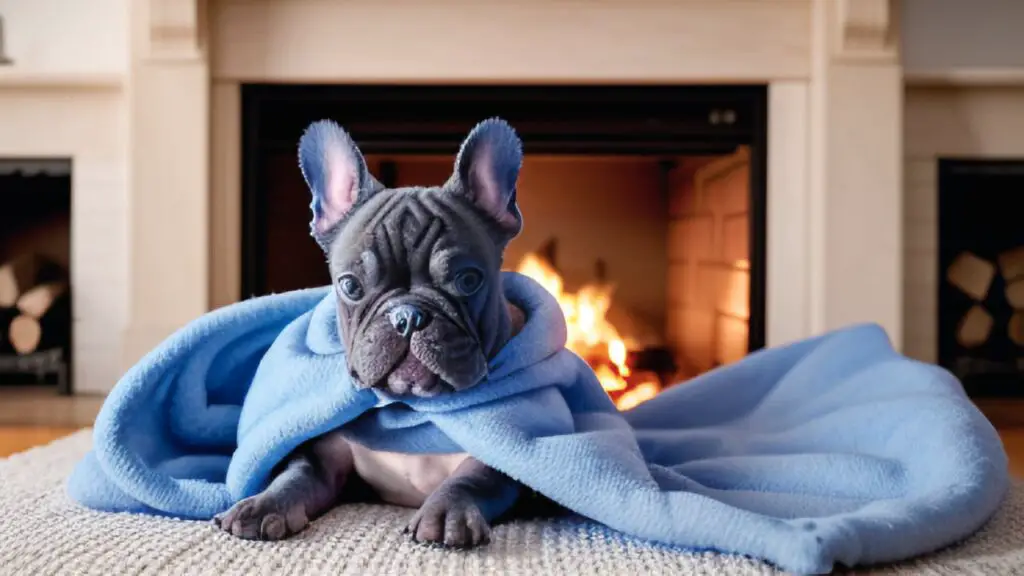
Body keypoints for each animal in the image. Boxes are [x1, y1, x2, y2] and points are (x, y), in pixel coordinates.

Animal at [217, 116, 536, 545]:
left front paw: (447, 514)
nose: (408, 315)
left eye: (468, 280)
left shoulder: (495, 464)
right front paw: (262, 504)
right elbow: (296, 475)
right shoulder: (327, 458)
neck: (409, 409)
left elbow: (470, 480)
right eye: (351, 286)